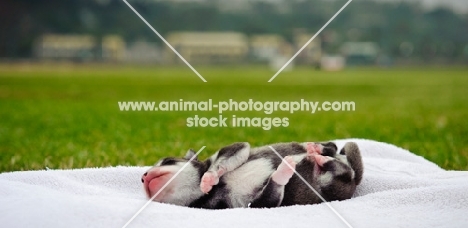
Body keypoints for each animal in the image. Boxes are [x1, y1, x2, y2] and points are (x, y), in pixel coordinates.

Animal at [141, 142, 364, 209]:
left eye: (167, 161)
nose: (143, 176)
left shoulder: (236, 149)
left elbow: (224, 159)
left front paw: (208, 178)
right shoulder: (247, 205)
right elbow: (270, 194)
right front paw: (283, 170)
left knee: (333, 148)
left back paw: (316, 150)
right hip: (334, 187)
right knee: (341, 168)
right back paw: (319, 158)